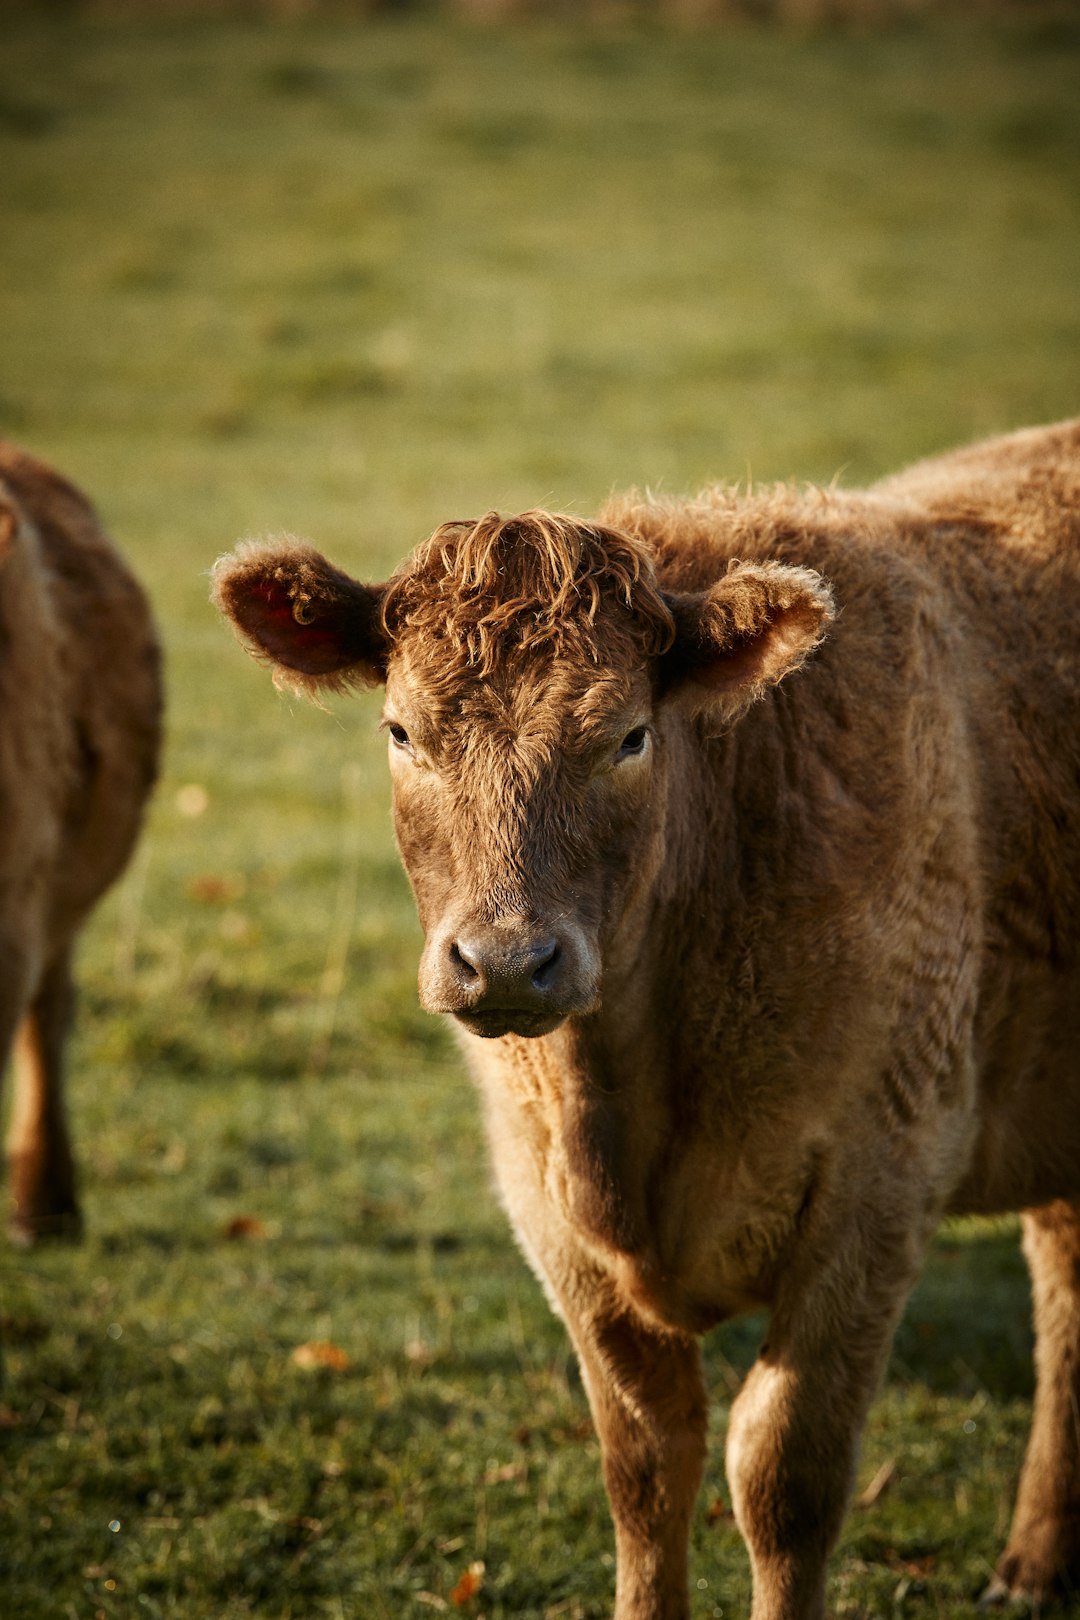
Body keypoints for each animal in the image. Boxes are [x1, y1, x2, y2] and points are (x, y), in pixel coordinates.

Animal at [213, 421, 1080, 1620]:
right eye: (400, 732)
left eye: (627, 737)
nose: (505, 960)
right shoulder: (548, 1215)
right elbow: (644, 1465)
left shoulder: (882, 1184)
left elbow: (783, 1477)